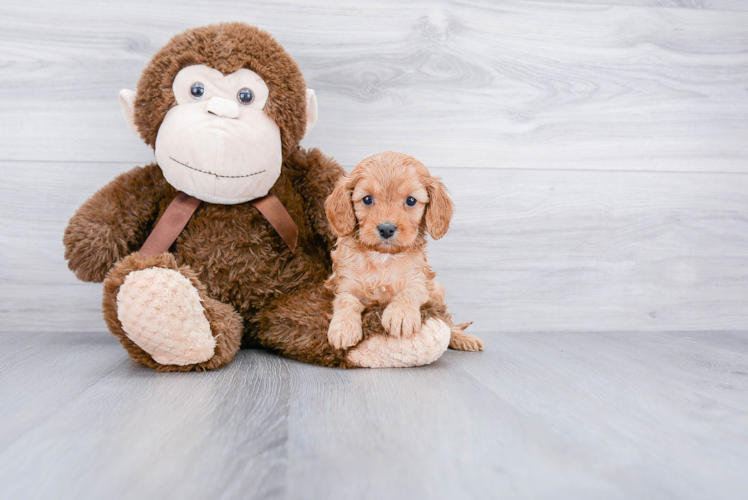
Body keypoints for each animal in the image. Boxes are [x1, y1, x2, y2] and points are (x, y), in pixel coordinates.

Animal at [324, 151, 482, 352]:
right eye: (367, 199)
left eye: (411, 200)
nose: (386, 229)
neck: (383, 257)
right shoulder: (345, 283)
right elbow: (346, 300)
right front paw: (344, 328)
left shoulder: (418, 281)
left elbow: (409, 293)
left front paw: (400, 316)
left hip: (437, 291)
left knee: (448, 321)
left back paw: (464, 338)